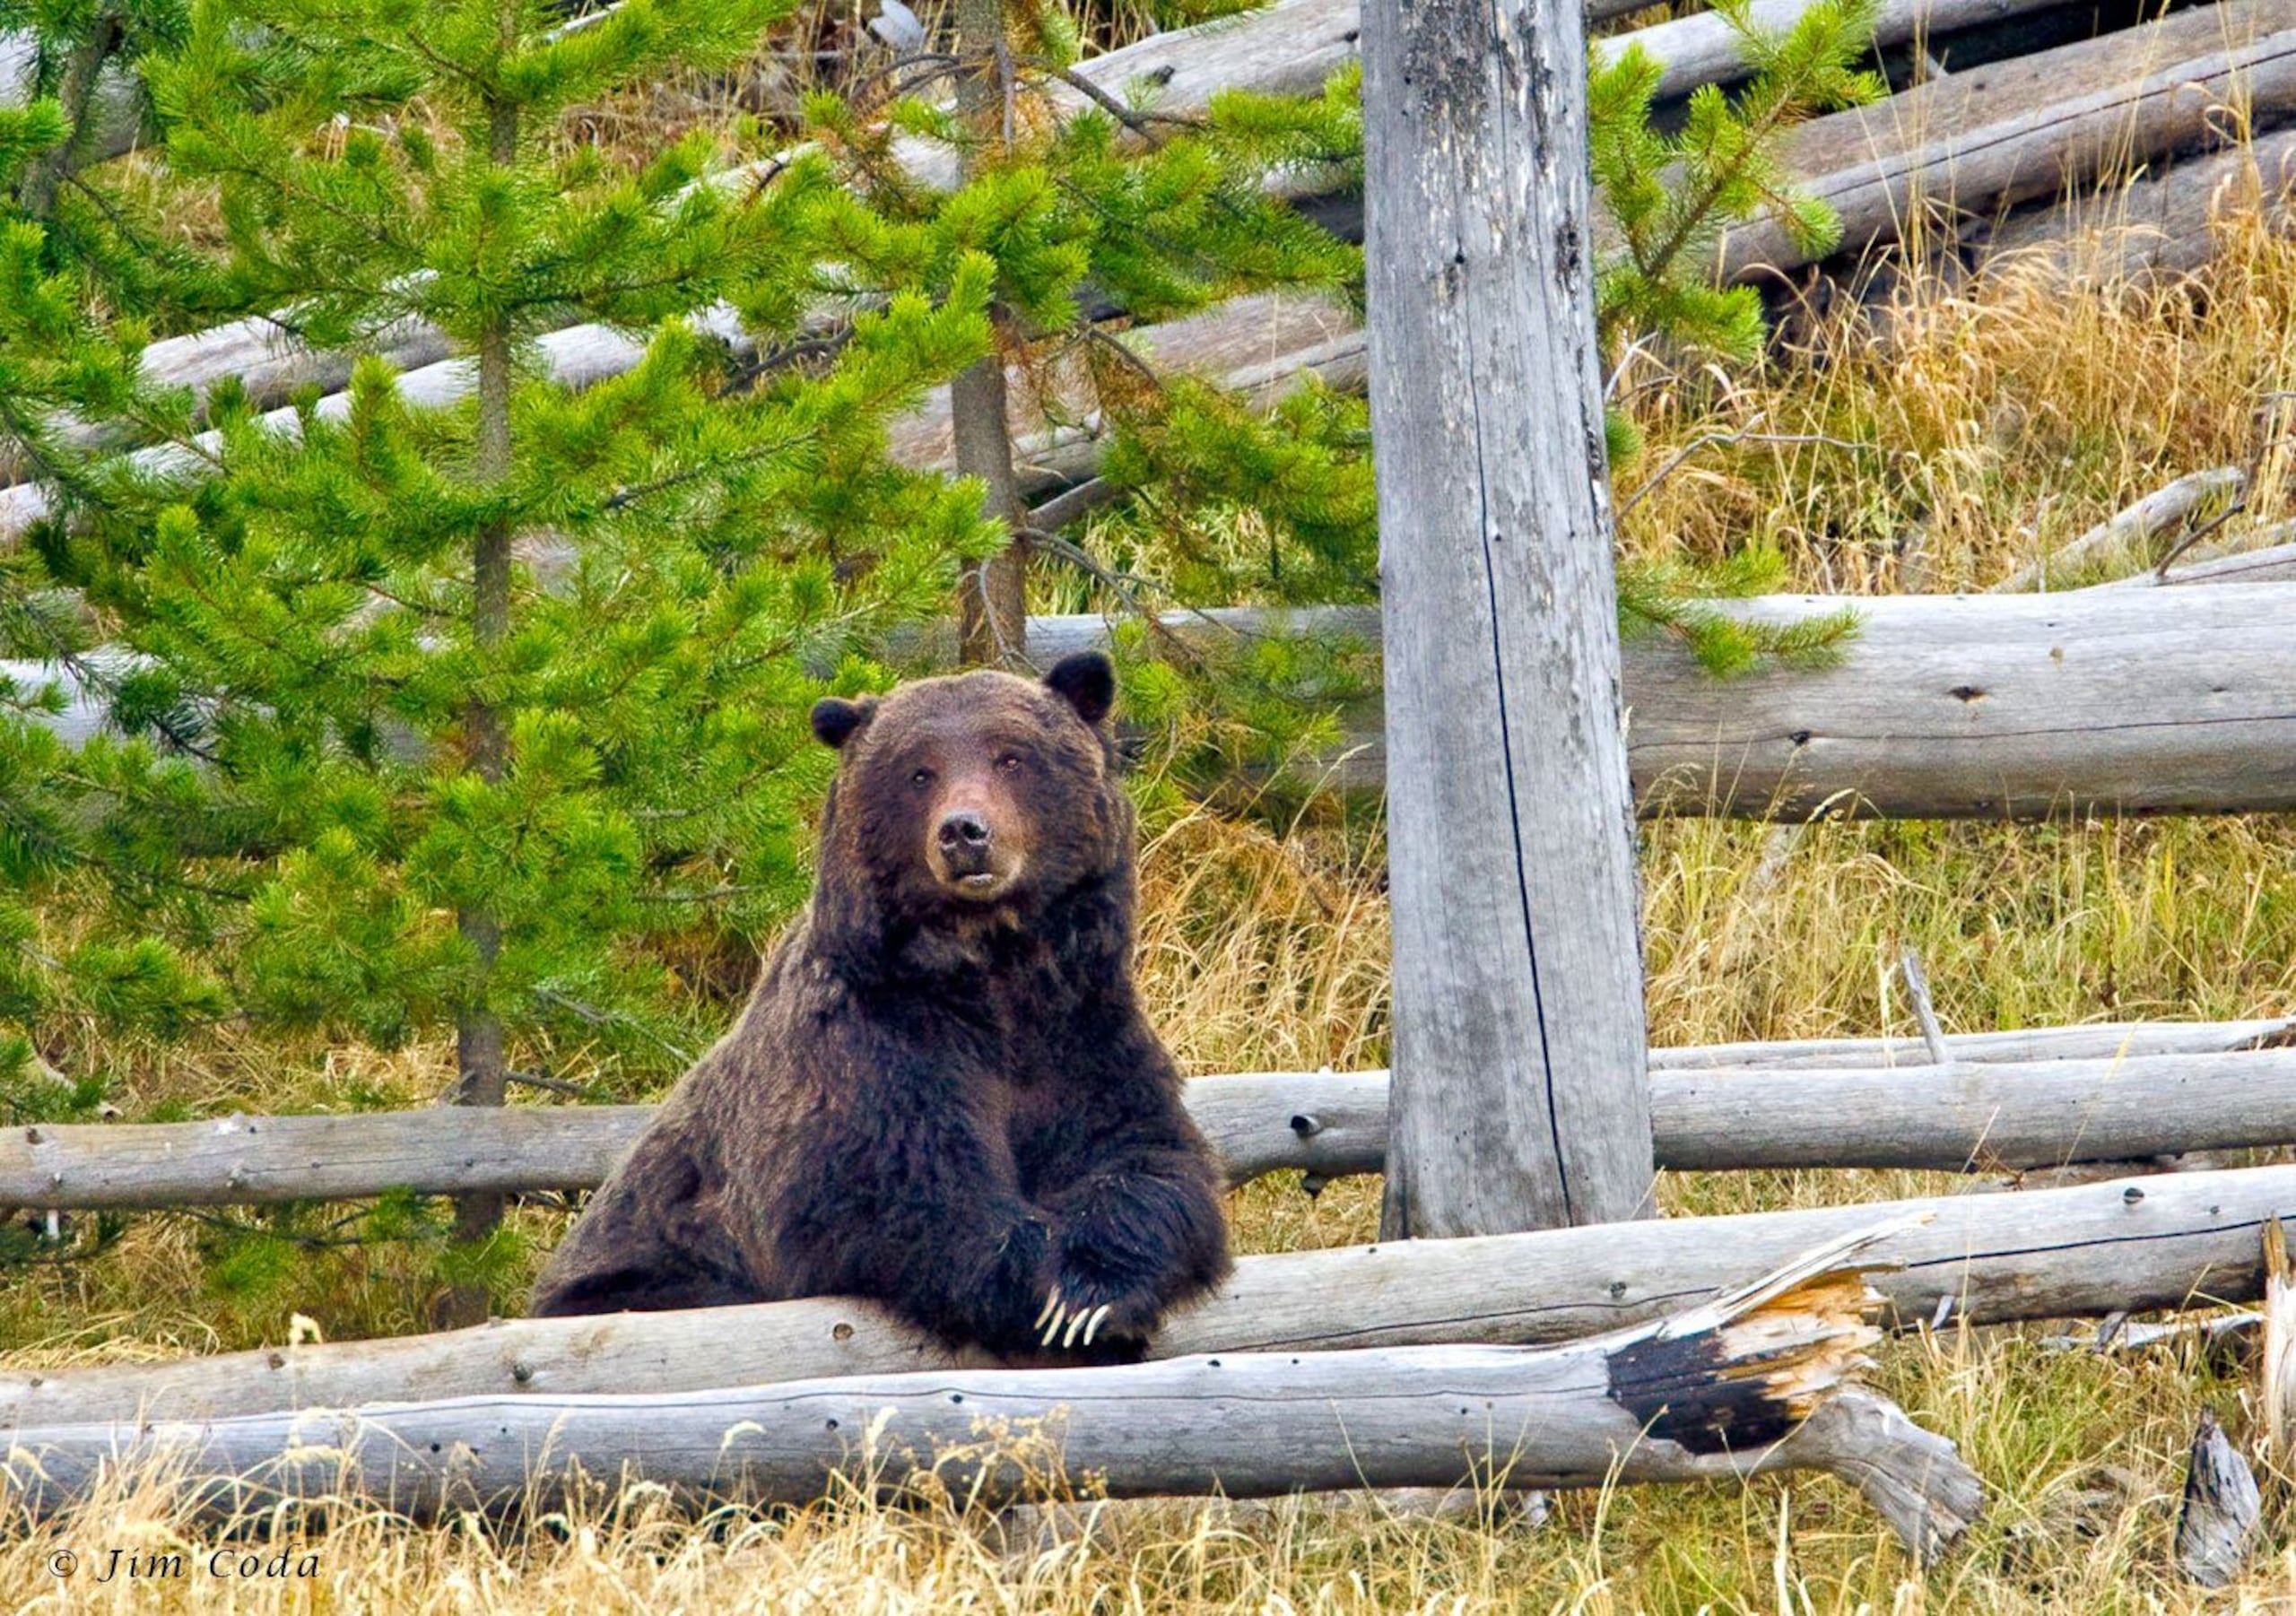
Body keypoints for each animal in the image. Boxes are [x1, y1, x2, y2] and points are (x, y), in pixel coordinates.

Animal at [528, 651, 1233, 1359]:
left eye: (1011, 756)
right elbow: (913, 1192)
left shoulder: (1080, 1029)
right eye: (920, 771)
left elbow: (1142, 1155)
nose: (964, 833)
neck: (993, 977)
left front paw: (1091, 1291)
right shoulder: (872, 1046)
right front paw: (1047, 1290)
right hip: (631, 1277)